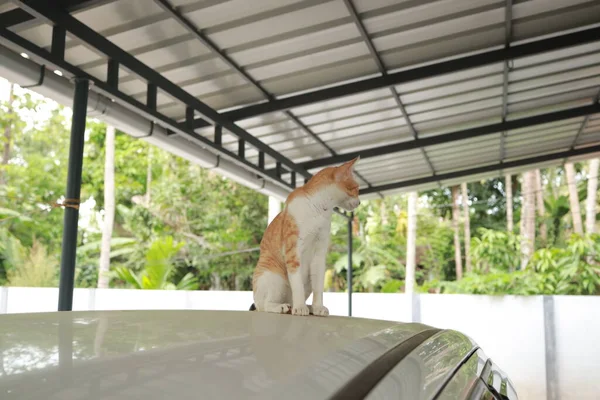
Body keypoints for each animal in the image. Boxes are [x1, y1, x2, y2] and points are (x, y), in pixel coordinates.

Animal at [250, 158, 358, 318]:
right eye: (356, 188)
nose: (360, 202)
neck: (319, 210)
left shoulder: (319, 255)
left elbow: (319, 287)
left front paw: (318, 307)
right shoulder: (293, 252)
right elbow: (297, 286)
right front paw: (300, 308)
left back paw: (307, 307)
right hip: (273, 277)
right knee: (264, 305)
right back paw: (283, 307)